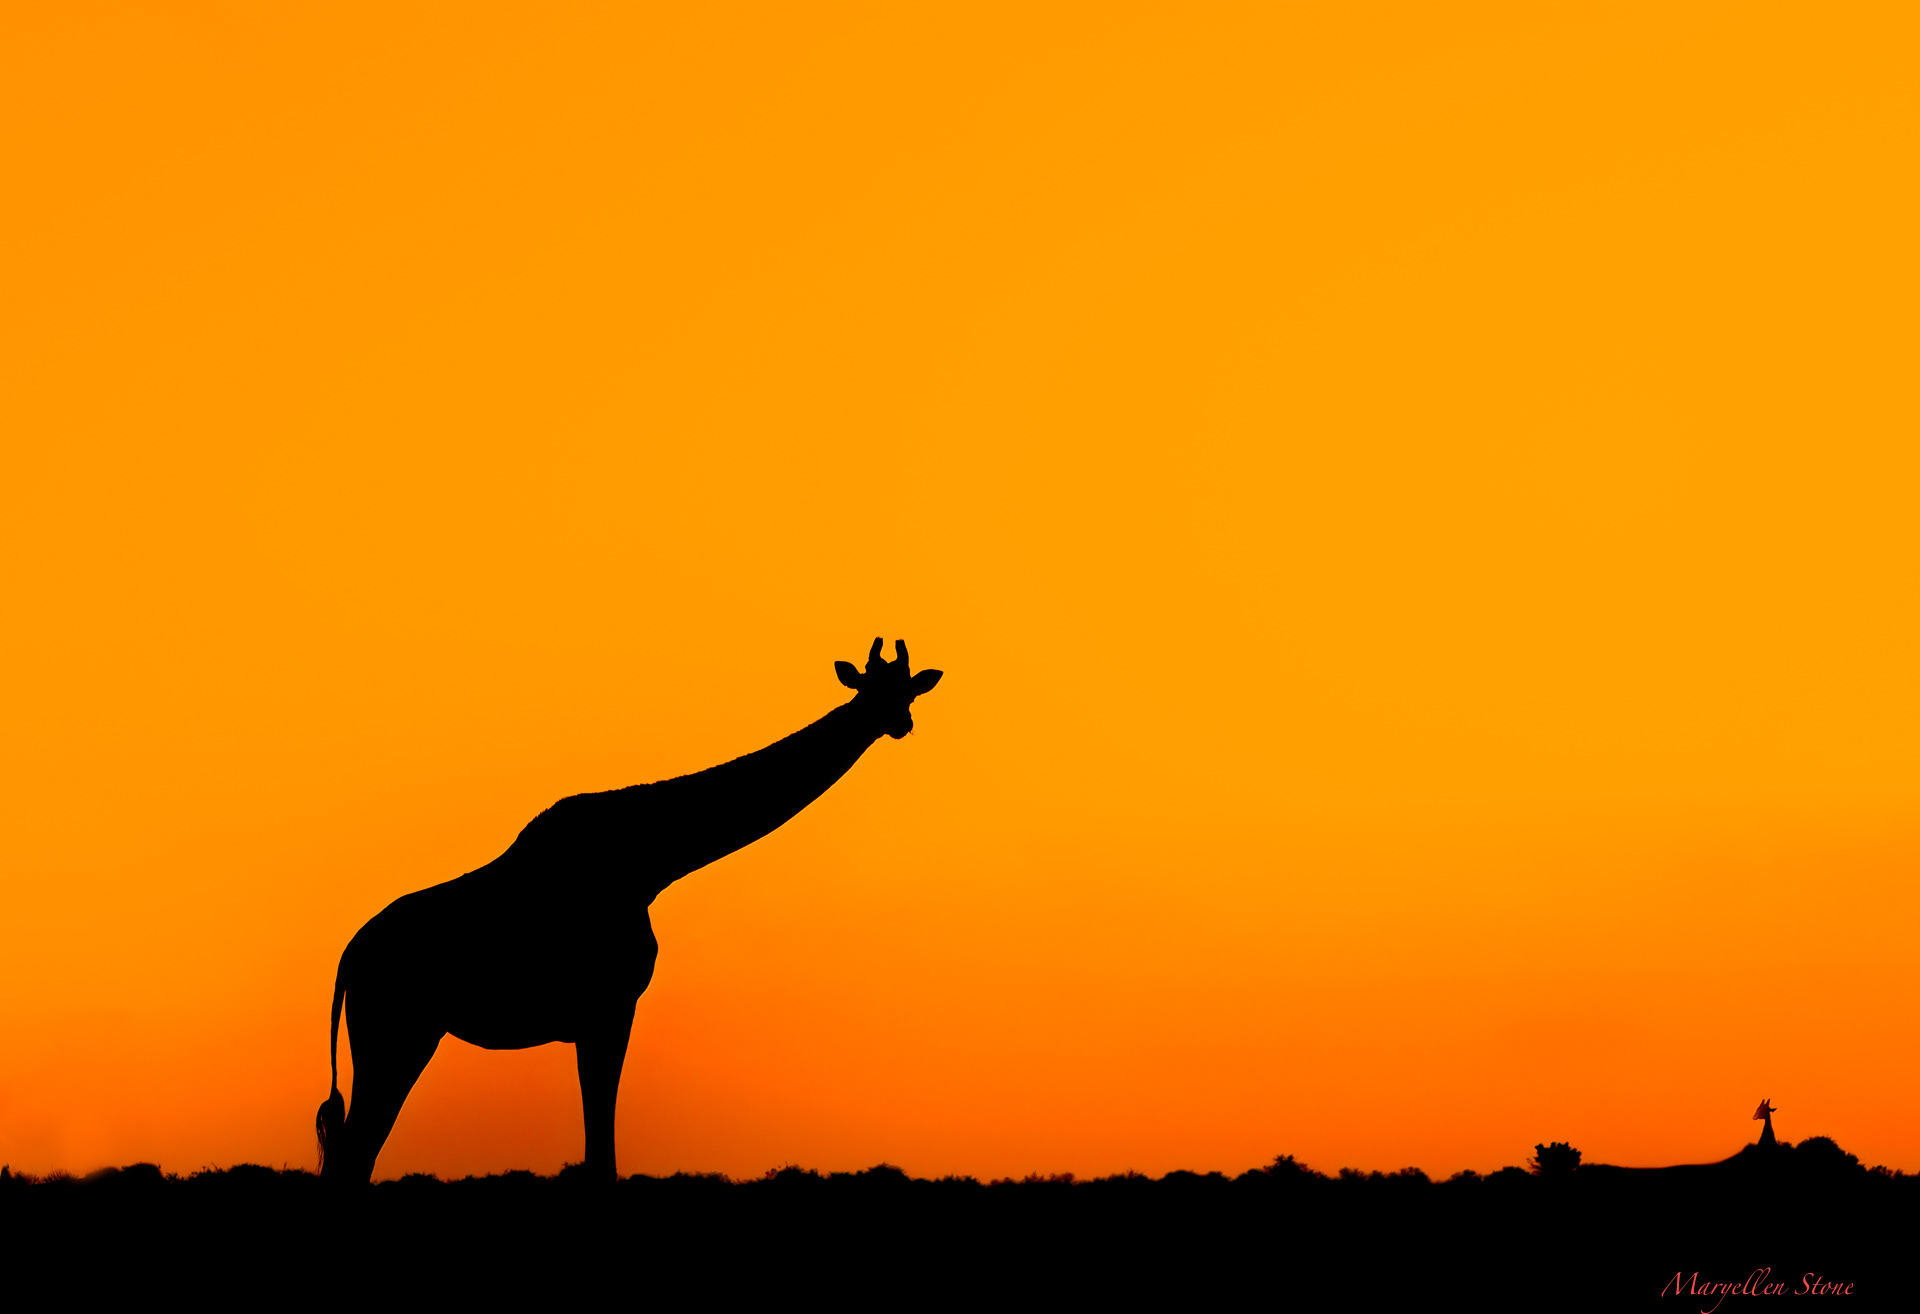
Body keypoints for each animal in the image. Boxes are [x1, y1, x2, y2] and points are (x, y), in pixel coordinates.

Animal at [316, 638, 942, 1185]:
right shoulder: (609, 1007)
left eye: (908, 689)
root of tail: (349, 958)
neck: (650, 862)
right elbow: (601, 1151)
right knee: (355, 1149)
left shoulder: (600, 1015)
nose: (898, 723)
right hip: (397, 1030)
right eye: (869, 688)